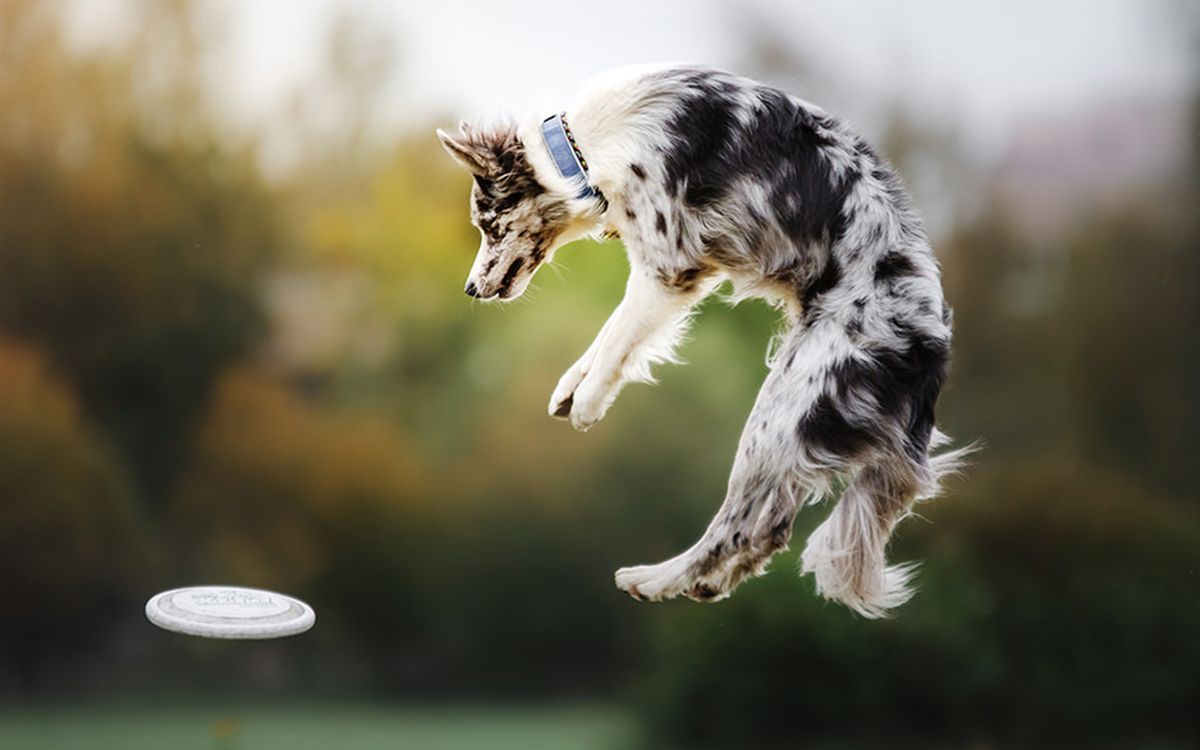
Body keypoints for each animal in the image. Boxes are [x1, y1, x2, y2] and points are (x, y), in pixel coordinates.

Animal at [436, 65, 969, 614]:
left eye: (488, 225)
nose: (470, 289)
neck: (585, 149)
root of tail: (932, 351)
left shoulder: (670, 268)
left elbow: (621, 334)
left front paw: (587, 403)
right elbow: (611, 333)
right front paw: (571, 387)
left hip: (781, 411)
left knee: (744, 526)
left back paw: (654, 580)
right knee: (767, 531)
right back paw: (696, 584)